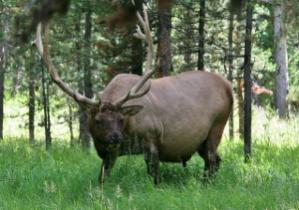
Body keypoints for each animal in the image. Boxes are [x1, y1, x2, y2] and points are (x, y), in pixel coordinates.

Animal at [34, 5, 232, 185]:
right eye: (98, 120)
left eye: (121, 118)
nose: (116, 137)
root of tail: (228, 86)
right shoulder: (108, 151)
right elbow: (102, 179)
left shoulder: (151, 136)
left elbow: (155, 177)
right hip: (201, 141)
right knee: (216, 161)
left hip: (217, 126)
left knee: (212, 160)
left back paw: (205, 184)